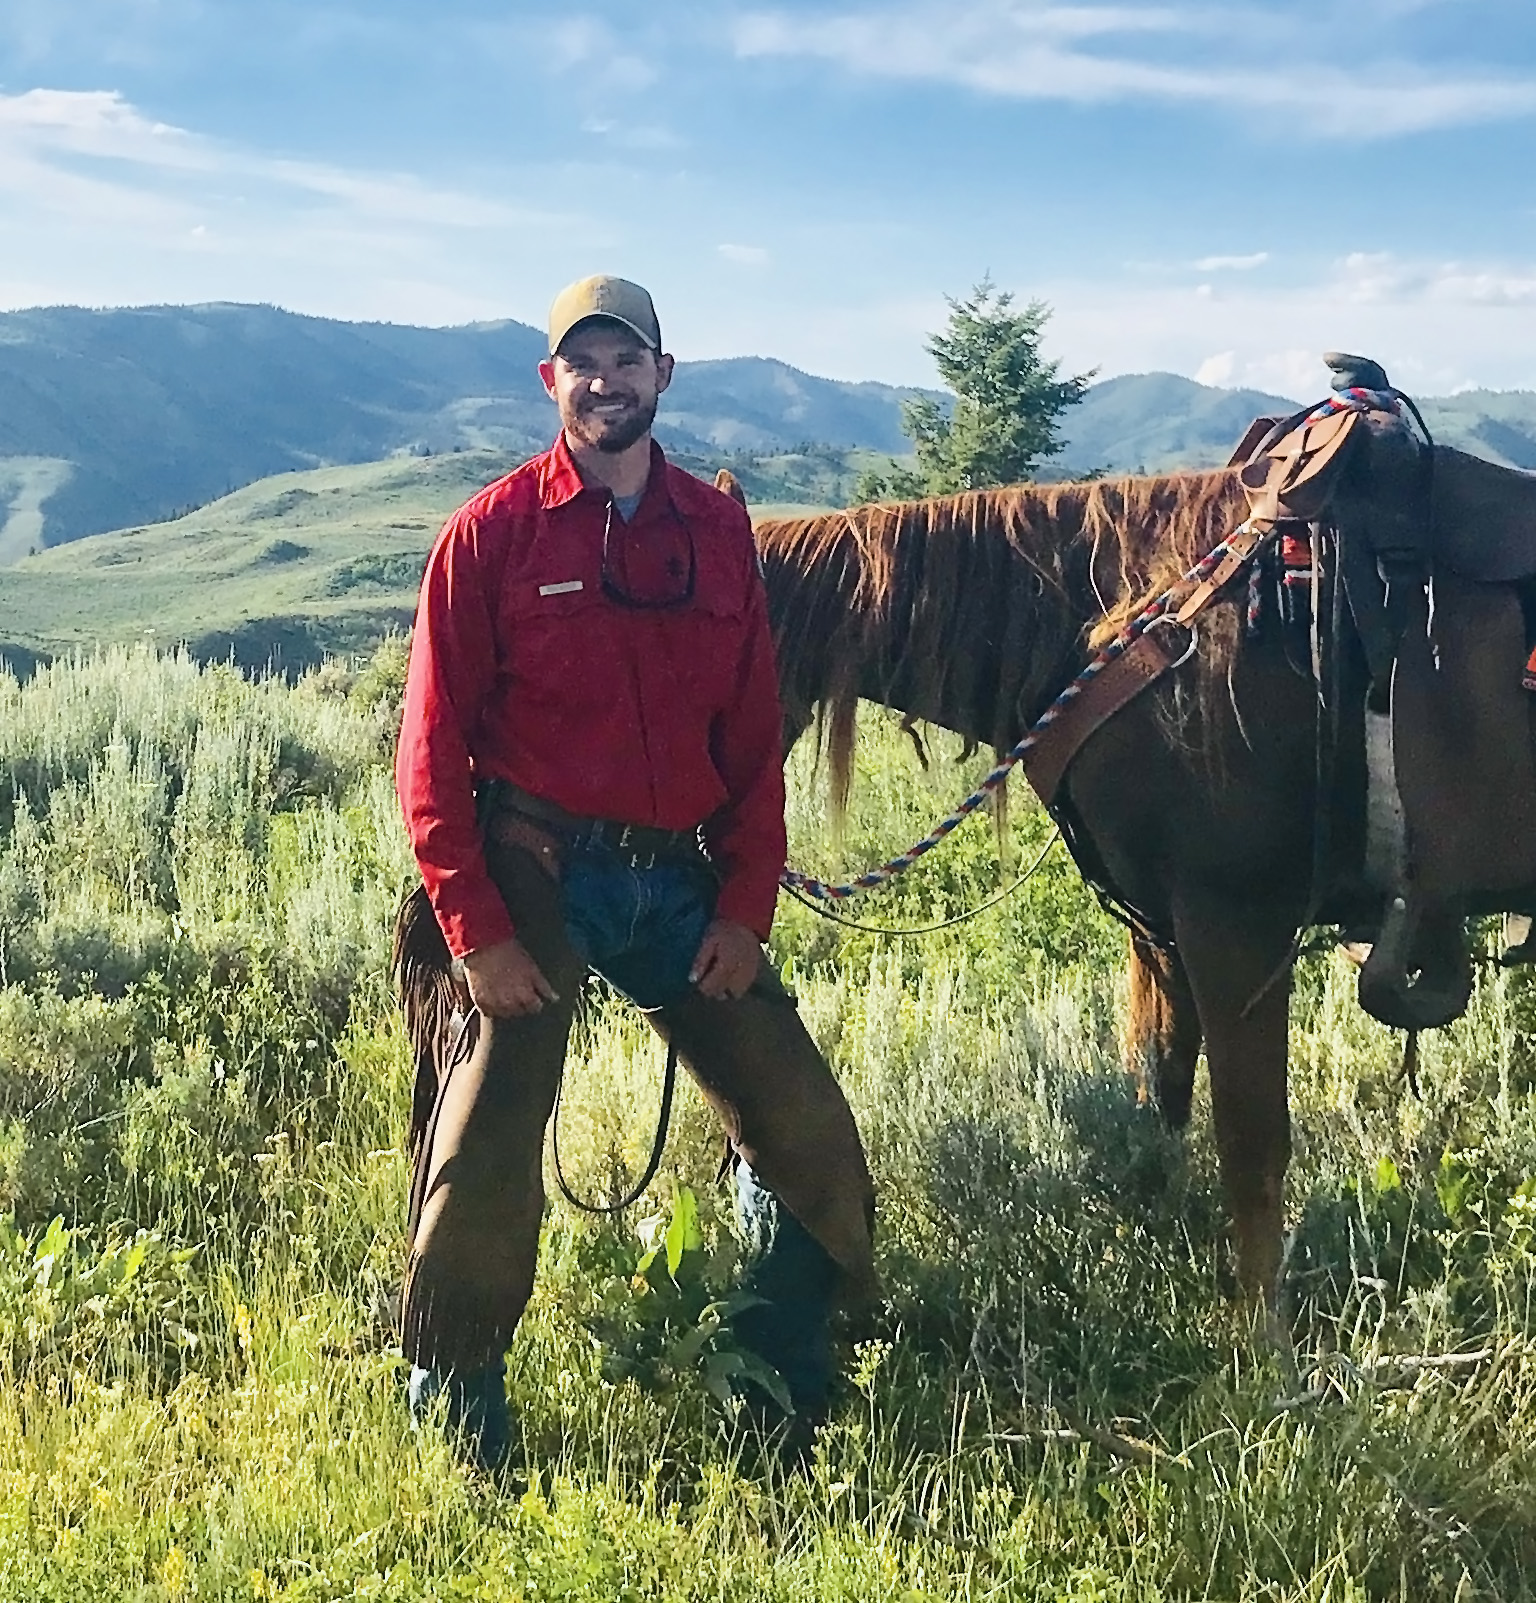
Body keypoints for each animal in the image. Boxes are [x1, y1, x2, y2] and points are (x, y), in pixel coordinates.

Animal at [753, 445, 1536, 1308]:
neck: (1138, 633)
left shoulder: (1238, 928)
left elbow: (1252, 1149)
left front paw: (1259, 1337)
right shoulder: (1159, 931)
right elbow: (1158, 1099)